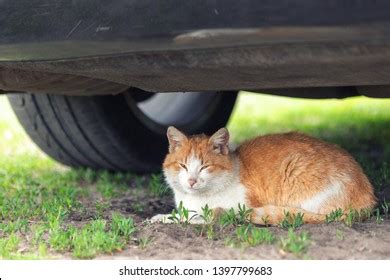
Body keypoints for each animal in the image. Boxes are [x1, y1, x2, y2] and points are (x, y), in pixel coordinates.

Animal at [153, 127, 378, 225]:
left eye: (205, 167)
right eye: (183, 165)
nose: (191, 181)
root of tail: (369, 196)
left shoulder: (239, 205)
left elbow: (199, 216)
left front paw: (167, 218)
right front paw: (162, 216)